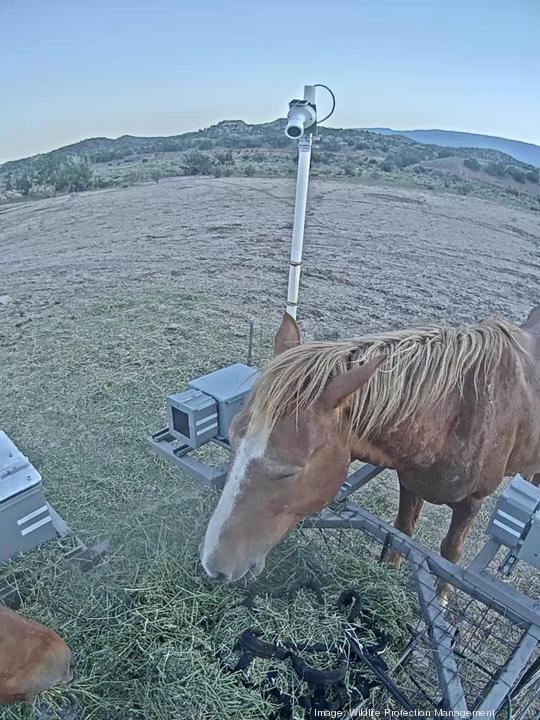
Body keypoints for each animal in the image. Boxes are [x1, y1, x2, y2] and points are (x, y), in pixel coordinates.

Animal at [199, 306, 540, 600]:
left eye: (288, 472)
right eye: (232, 439)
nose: (214, 565)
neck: (457, 415)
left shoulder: (472, 502)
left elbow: (450, 555)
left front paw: (441, 598)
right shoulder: (410, 481)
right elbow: (403, 531)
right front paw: (390, 573)